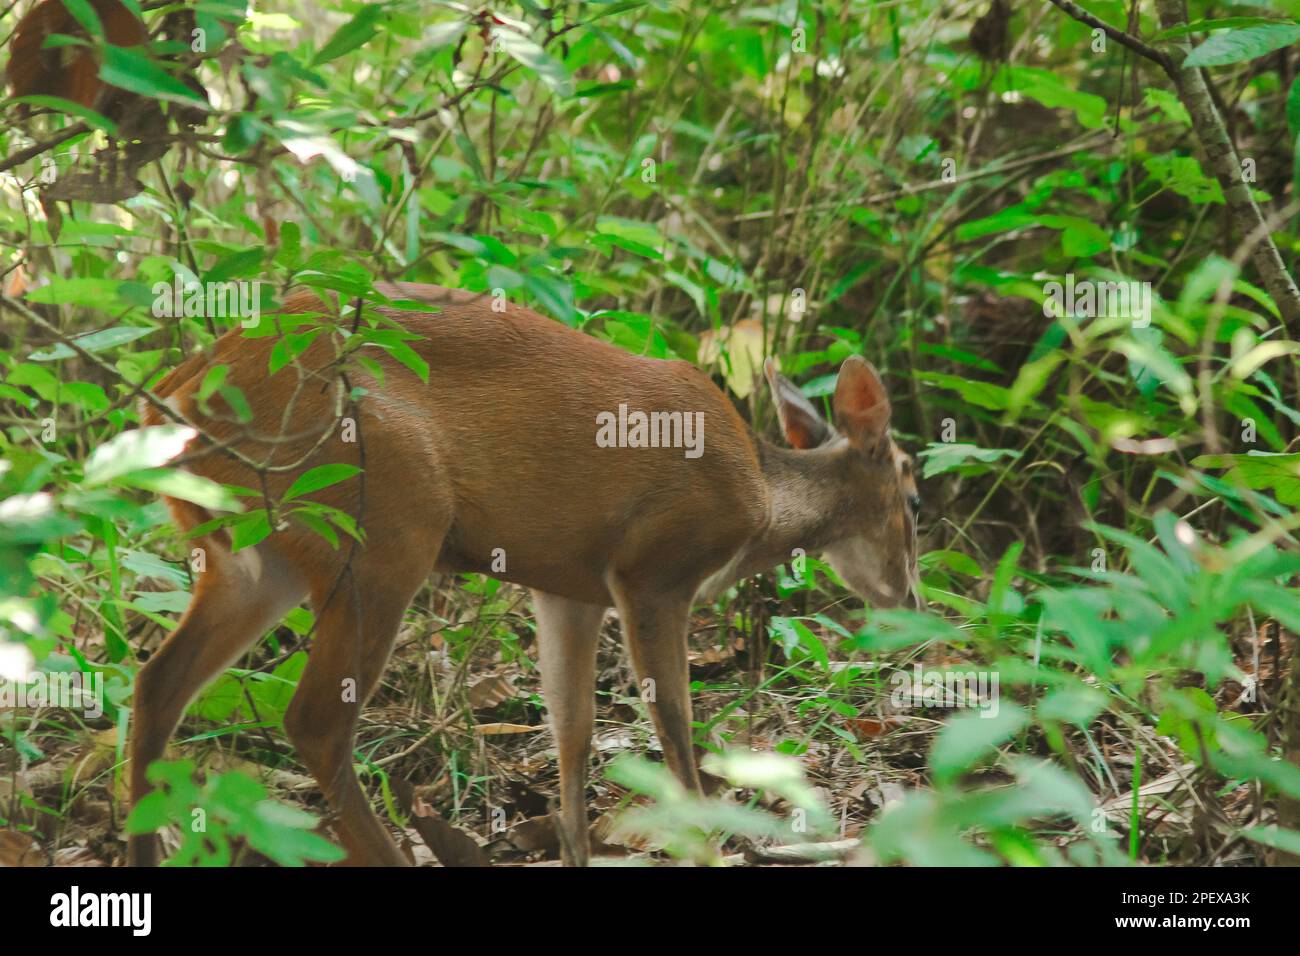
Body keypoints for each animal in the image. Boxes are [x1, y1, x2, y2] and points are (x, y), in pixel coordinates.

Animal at [126, 282, 920, 868]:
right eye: (915, 498)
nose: (909, 598)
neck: (762, 496)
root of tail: (181, 392)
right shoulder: (654, 569)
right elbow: (674, 726)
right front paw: (706, 846)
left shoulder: (567, 588)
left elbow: (574, 732)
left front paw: (576, 848)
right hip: (384, 516)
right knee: (314, 721)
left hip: (256, 557)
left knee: (158, 682)